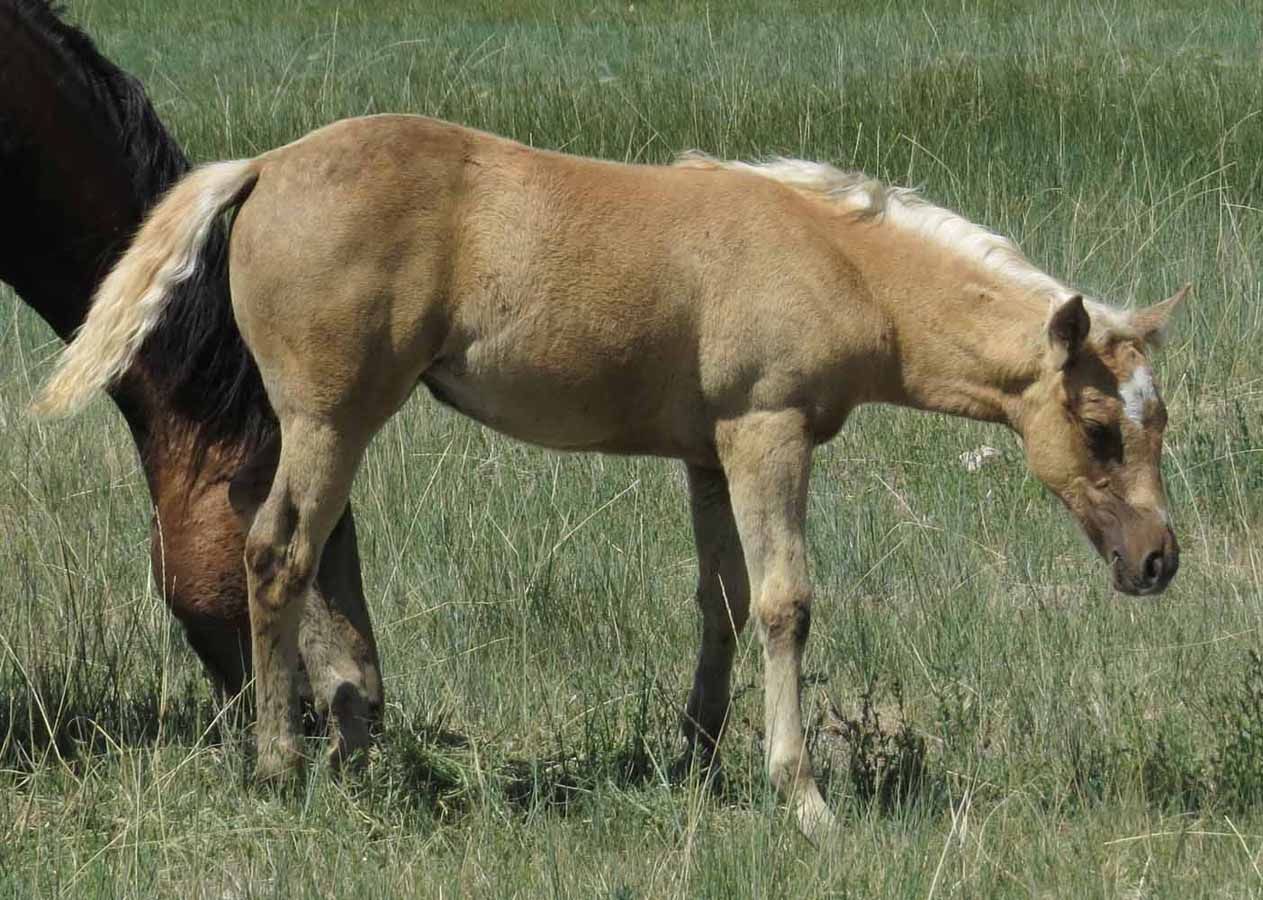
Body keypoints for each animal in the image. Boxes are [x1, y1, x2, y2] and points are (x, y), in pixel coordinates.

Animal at [34, 113, 1187, 840]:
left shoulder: (709, 454)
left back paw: (357, 757)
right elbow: (785, 604)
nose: (1158, 561)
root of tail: (267, 164)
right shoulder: (767, 433)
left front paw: (698, 766)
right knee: (278, 555)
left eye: (1158, 424)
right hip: (329, 418)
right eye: (1098, 430)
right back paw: (281, 767)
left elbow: (721, 604)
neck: (840, 266)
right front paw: (804, 800)